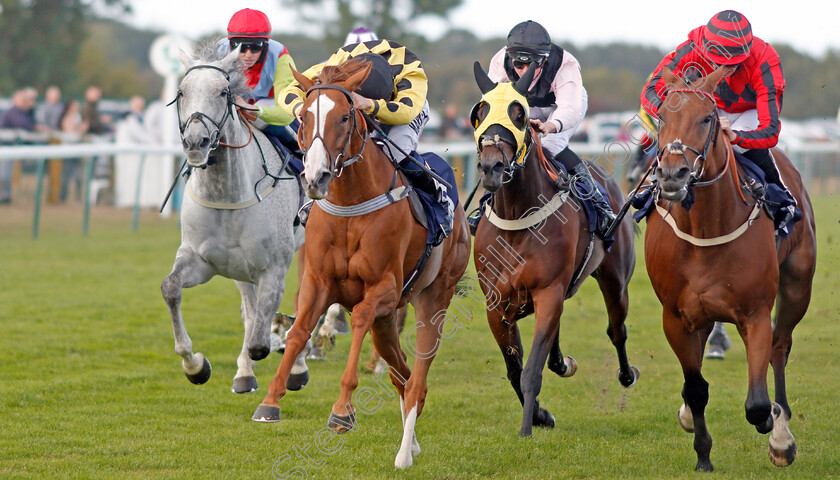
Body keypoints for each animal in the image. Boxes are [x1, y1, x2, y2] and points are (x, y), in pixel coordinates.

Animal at [162, 45, 312, 396]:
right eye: (181, 91)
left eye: (223, 92)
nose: (196, 142)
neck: (226, 196)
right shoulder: (202, 260)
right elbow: (171, 288)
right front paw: (195, 366)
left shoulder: (274, 268)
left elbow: (262, 337)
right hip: (240, 269)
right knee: (251, 308)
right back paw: (245, 372)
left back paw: (296, 366)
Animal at [249, 57, 472, 468]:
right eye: (303, 116)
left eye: (344, 117)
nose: (316, 177)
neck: (351, 204)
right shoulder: (318, 281)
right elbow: (299, 330)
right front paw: (271, 400)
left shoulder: (383, 288)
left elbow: (359, 321)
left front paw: (342, 410)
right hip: (389, 322)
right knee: (402, 373)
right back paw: (411, 443)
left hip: (434, 298)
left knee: (417, 377)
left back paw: (404, 455)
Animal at [470, 62, 640, 436]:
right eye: (480, 112)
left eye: (519, 114)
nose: (491, 167)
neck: (518, 215)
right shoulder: (497, 303)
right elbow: (514, 368)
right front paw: (540, 415)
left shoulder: (548, 291)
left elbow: (531, 370)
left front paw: (527, 427)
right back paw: (562, 362)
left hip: (616, 281)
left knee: (617, 330)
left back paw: (626, 373)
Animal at [648, 68, 816, 472]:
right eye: (661, 117)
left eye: (708, 118)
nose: (673, 174)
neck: (706, 227)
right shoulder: (674, 316)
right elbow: (696, 388)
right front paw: (703, 454)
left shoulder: (755, 313)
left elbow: (757, 402)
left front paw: (773, 425)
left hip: (798, 285)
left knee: (780, 345)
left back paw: (781, 432)